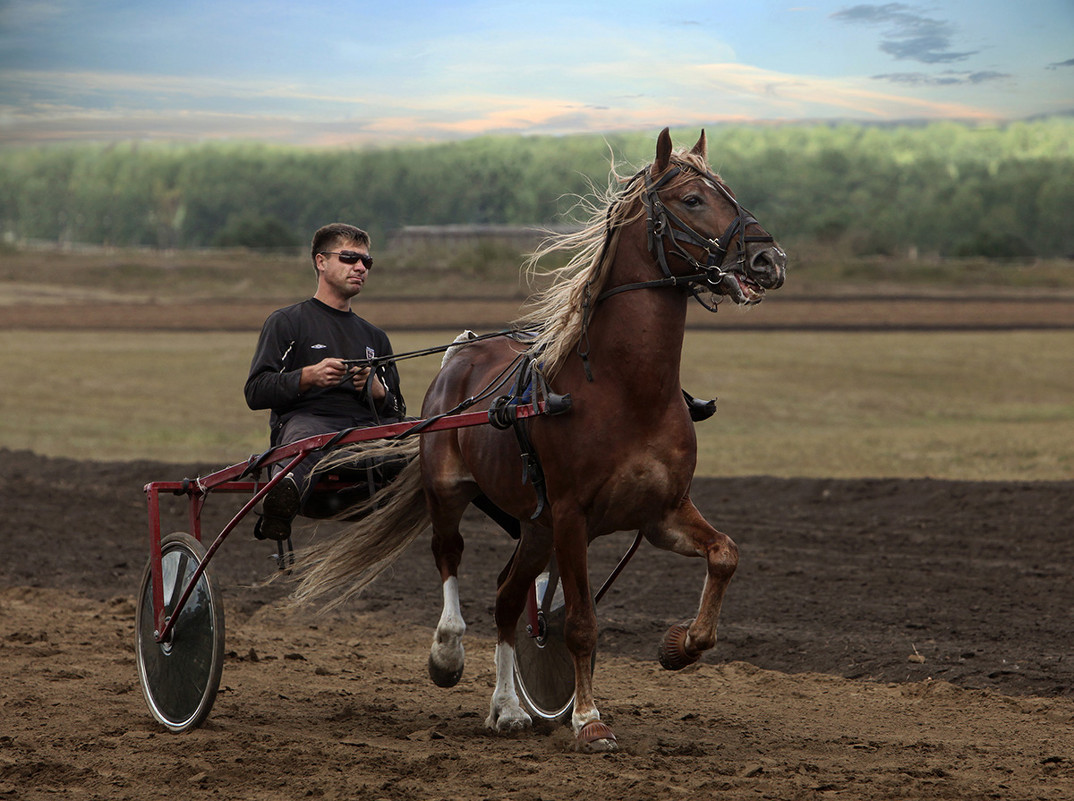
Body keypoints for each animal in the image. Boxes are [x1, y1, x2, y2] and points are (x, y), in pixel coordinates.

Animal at [294, 127, 790, 751]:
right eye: (693, 199)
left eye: (730, 192)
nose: (769, 259)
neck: (626, 389)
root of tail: (462, 354)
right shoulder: (574, 514)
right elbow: (579, 623)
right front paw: (588, 719)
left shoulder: (662, 512)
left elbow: (725, 554)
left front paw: (681, 646)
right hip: (452, 490)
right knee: (450, 557)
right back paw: (448, 653)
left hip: (536, 526)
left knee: (508, 598)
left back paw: (507, 708)